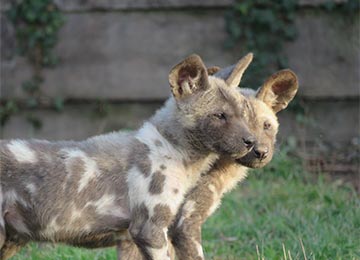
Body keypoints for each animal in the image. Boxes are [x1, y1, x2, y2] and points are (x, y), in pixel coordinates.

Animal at [1, 53, 258, 258]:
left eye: (243, 112)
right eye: (219, 116)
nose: (251, 142)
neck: (174, 149)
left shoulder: (133, 239)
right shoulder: (150, 231)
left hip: (12, 240)